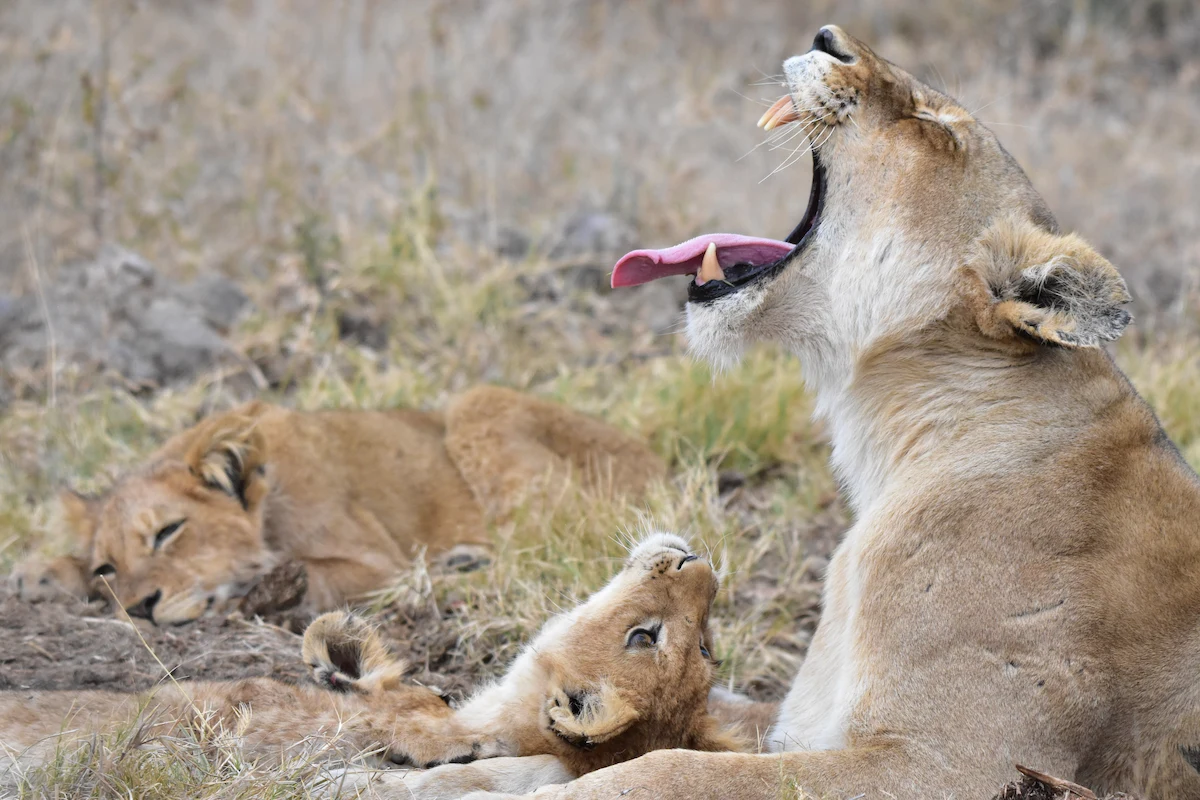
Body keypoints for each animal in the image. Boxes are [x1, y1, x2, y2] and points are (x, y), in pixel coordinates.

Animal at [9, 386, 665, 625]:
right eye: (107, 567)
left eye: (169, 531)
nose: (138, 608)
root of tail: (658, 458)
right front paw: (37, 573)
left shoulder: (374, 561)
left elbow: (312, 573)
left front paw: (262, 592)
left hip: (475, 404)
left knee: (548, 557)